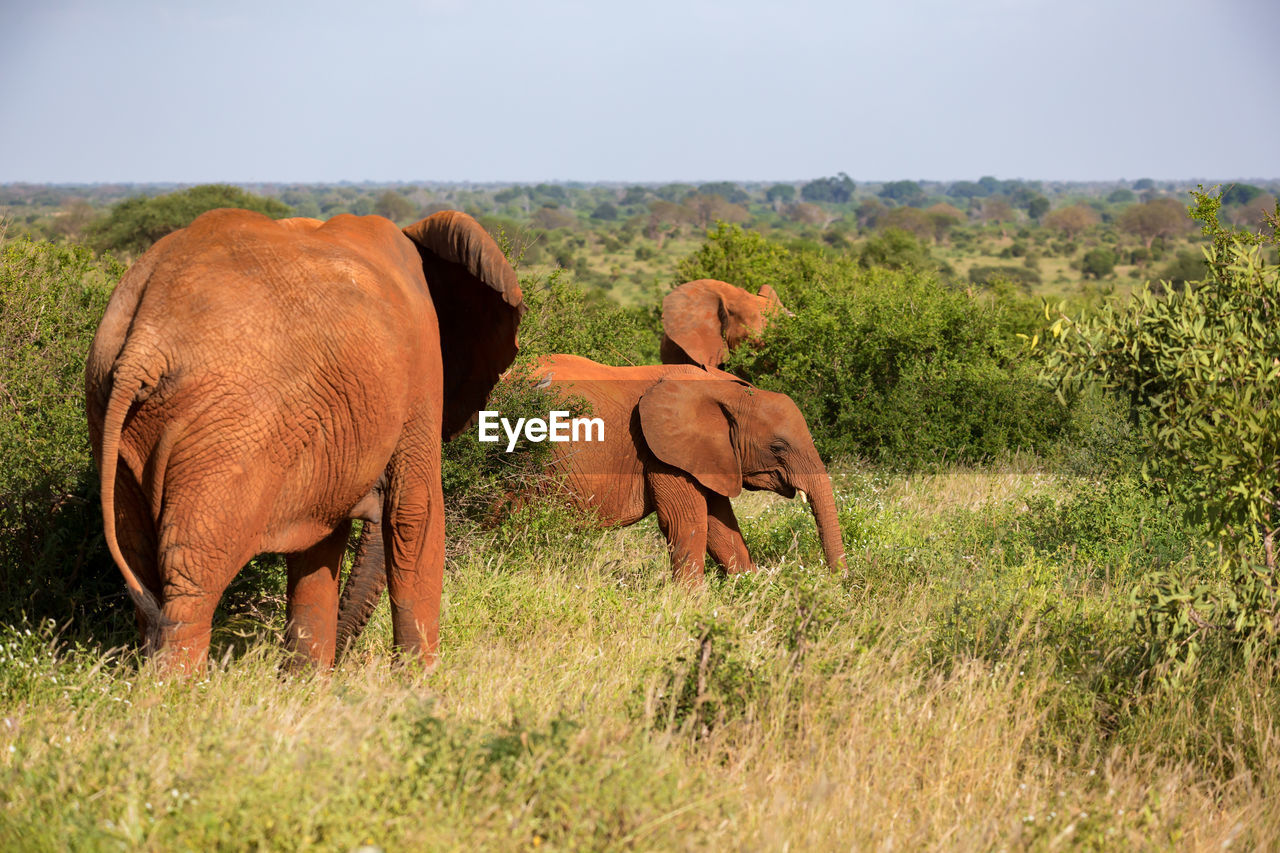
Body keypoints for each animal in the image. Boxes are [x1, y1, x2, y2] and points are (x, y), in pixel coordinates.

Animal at [86, 207, 524, 671]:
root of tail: (145, 341)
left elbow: (321, 542)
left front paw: (304, 683)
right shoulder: (421, 367)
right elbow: (414, 511)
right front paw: (419, 684)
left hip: (110, 409)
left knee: (141, 567)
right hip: (230, 427)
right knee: (192, 577)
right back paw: (175, 687)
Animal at [335, 356, 844, 653]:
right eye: (778, 447)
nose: (837, 587)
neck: (727, 390)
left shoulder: (711, 454)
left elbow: (722, 527)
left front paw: (750, 592)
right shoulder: (661, 450)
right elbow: (688, 522)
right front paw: (692, 607)